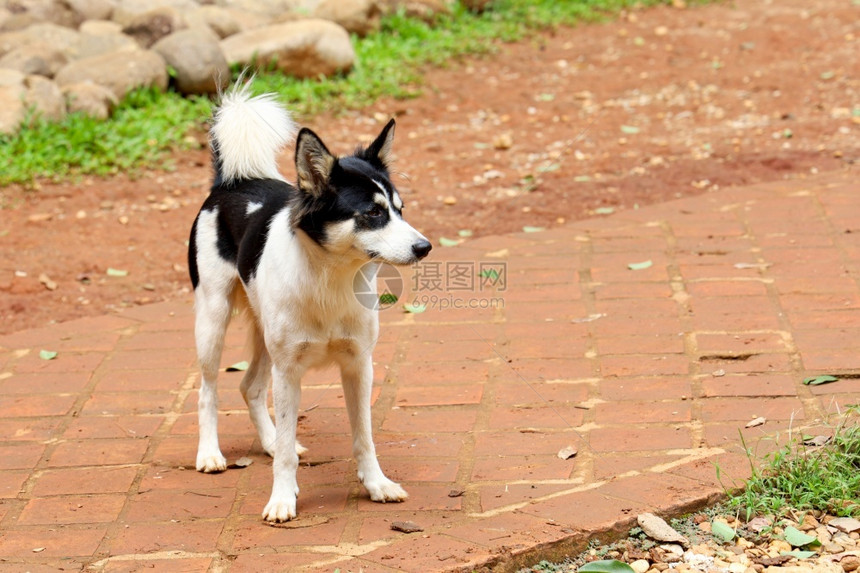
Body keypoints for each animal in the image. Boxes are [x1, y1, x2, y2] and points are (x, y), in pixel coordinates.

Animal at [187, 82, 430, 520]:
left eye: (400, 210)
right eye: (373, 213)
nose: (425, 247)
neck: (331, 280)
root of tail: (231, 184)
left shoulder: (359, 365)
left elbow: (364, 436)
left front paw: (377, 484)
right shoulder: (288, 372)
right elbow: (287, 449)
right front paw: (282, 498)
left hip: (263, 333)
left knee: (249, 387)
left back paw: (265, 441)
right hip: (212, 321)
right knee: (207, 390)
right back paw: (210, 454)